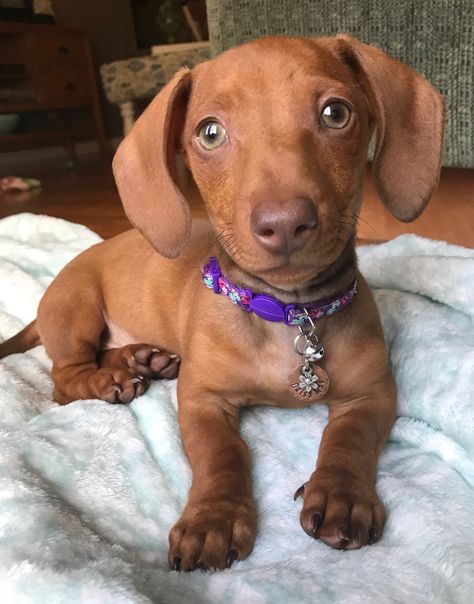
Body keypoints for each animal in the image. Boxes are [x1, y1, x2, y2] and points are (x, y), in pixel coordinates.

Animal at [0, 36, 444, 572]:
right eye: (210, 133)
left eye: (336, 113)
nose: (284, 223)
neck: (288, 314)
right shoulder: (202, 399)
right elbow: (222, 453)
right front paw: (213, 517)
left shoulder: (372, 394)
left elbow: (348, 438)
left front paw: (342, 494)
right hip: (77, 306)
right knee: (63, 380)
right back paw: (108, 380)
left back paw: (140, 358)